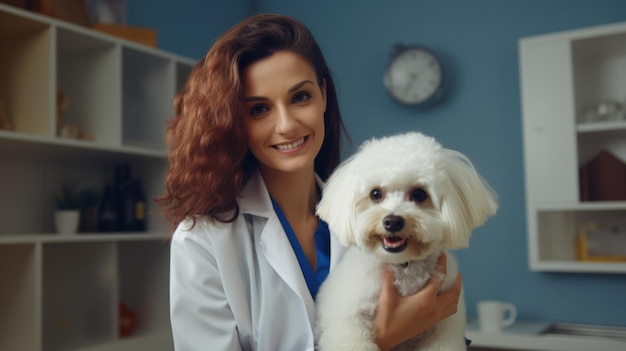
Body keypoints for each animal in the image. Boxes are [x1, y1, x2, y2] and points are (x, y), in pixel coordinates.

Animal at [314, 133, 494, 351]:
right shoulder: (347, 316)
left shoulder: (444, 326)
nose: (392, 221)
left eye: (419, 194)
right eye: (375, 194)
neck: (403, 265)